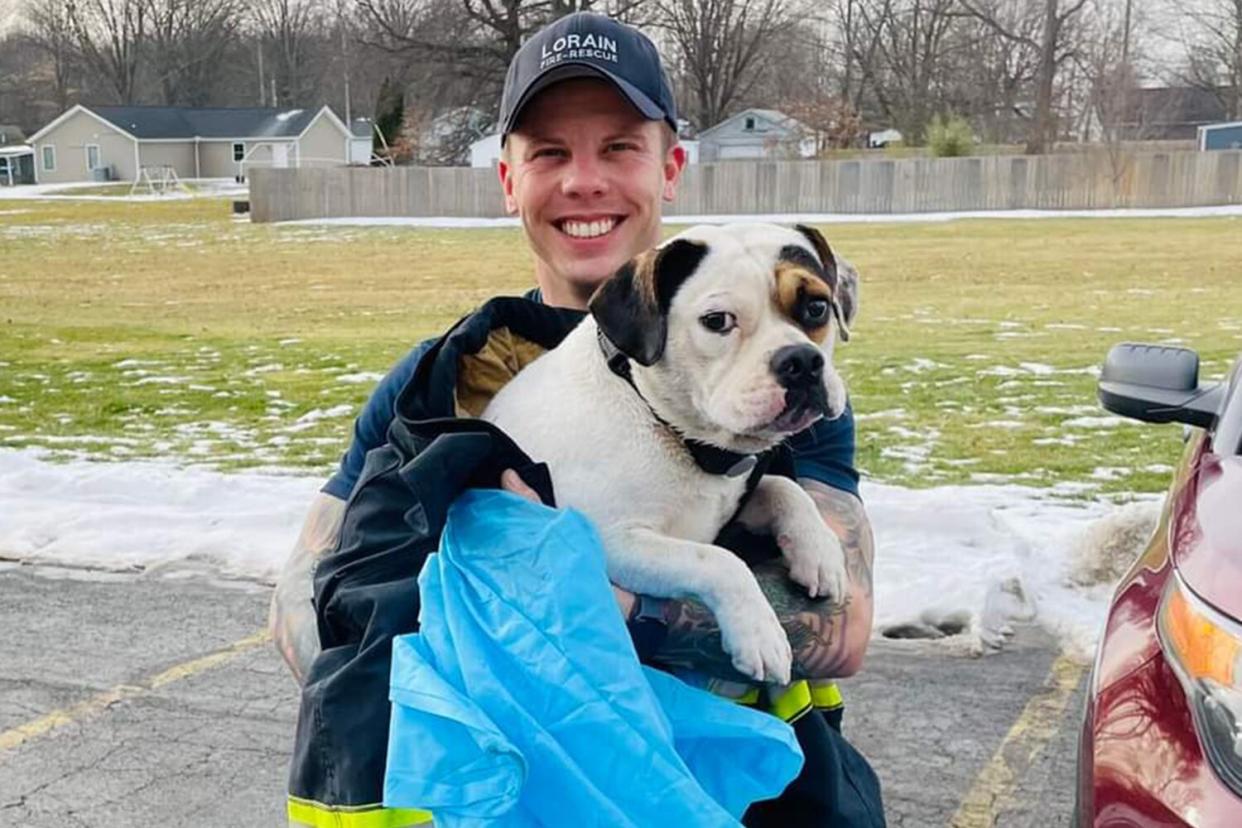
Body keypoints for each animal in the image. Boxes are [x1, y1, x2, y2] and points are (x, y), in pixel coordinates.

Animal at [479, 223, 859, 685]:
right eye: (717, 321)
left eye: (817, 307)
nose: (802, 361)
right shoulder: (614, 539)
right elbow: (719, 560)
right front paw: (760, 634)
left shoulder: (725, 506)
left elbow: (785, 488)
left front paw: (821, 552)